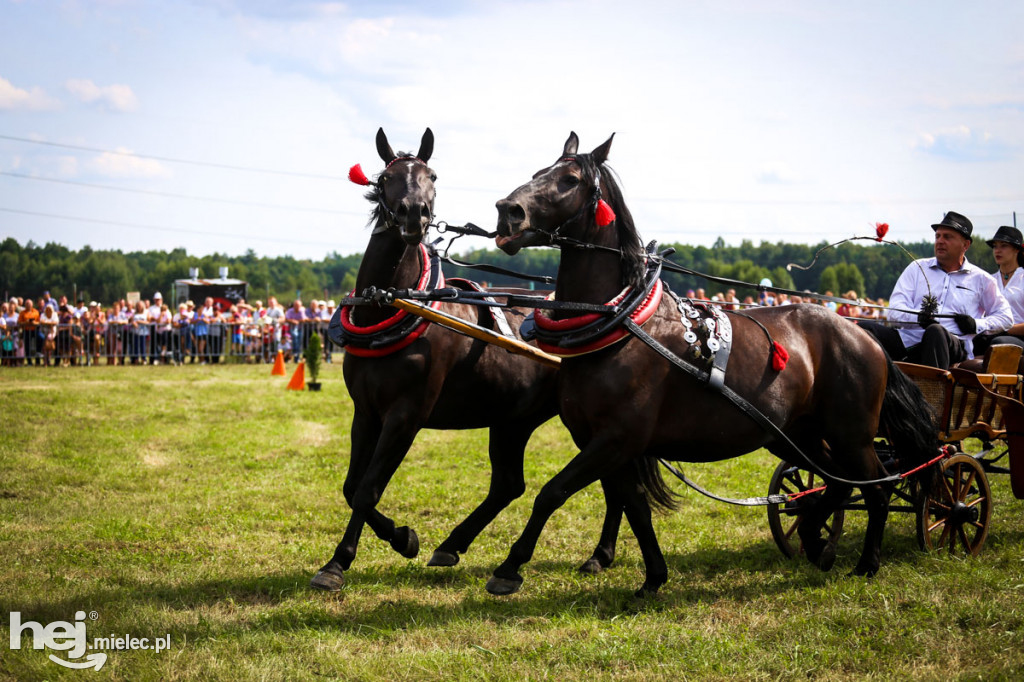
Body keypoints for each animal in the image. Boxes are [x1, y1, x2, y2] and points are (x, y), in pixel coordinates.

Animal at [305, 129, 622, 589]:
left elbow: (367, 489)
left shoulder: (406, 415)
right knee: (509, 485)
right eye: (386, 177)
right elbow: (351, 486)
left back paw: (600, 553)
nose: (414, 214)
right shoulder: (365, 412)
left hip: (587, 424)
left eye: (431, 175)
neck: (390, 305)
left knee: (615, 479)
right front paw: (402, 538)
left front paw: (340, 562)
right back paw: (454, 544)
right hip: (514, 419)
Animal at [487, 130, 937, 593]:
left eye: (570, 179)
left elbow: (552, 493)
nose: (508, 211)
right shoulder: (605, 442)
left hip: (852, 435)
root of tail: (866, 335)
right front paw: (654, 576)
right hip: (796, 434)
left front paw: (510, 567)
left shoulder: (615, 439)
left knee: (876, 488)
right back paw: (816, 541)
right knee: (834, 485)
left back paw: (865, 562)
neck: (619, 327)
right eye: (539, 172)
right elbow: (636, 508)